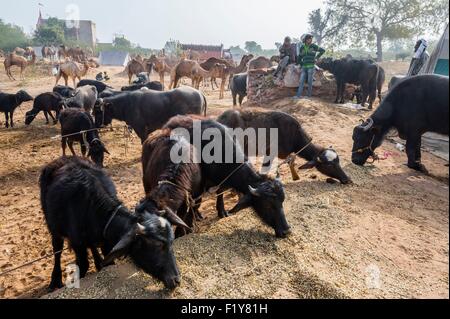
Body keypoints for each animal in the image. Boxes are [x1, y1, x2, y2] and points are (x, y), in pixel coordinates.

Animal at [217, 110, 352, 185]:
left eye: (338, 161)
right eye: (329, 165)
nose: (347, 179)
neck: (294, 135)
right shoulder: (270, 153)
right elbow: (265, 170)